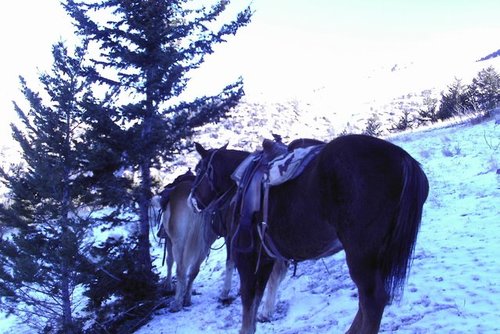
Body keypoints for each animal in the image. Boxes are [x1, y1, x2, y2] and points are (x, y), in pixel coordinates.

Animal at [189, 134, 428, 332]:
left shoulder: (247, 259)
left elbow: (248, 308)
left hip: (361, 255)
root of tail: (403, 158)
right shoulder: (265, 259)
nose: (192, 200)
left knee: (372, 300)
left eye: (199, 169)